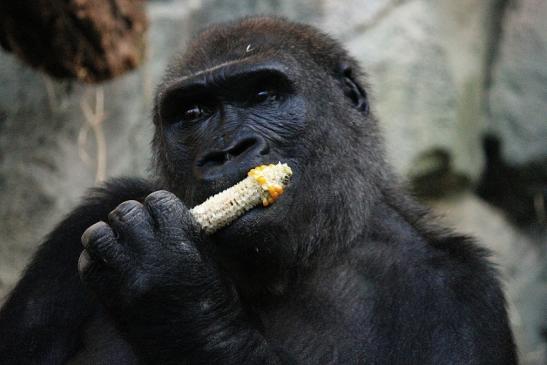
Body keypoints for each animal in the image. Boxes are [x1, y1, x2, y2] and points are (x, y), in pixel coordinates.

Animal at [0, 17, 520, 364]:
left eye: (263, 95)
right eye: (193, 113)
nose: (228, 150)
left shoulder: (463, 296)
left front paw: (173, 288)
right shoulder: (85, 225)